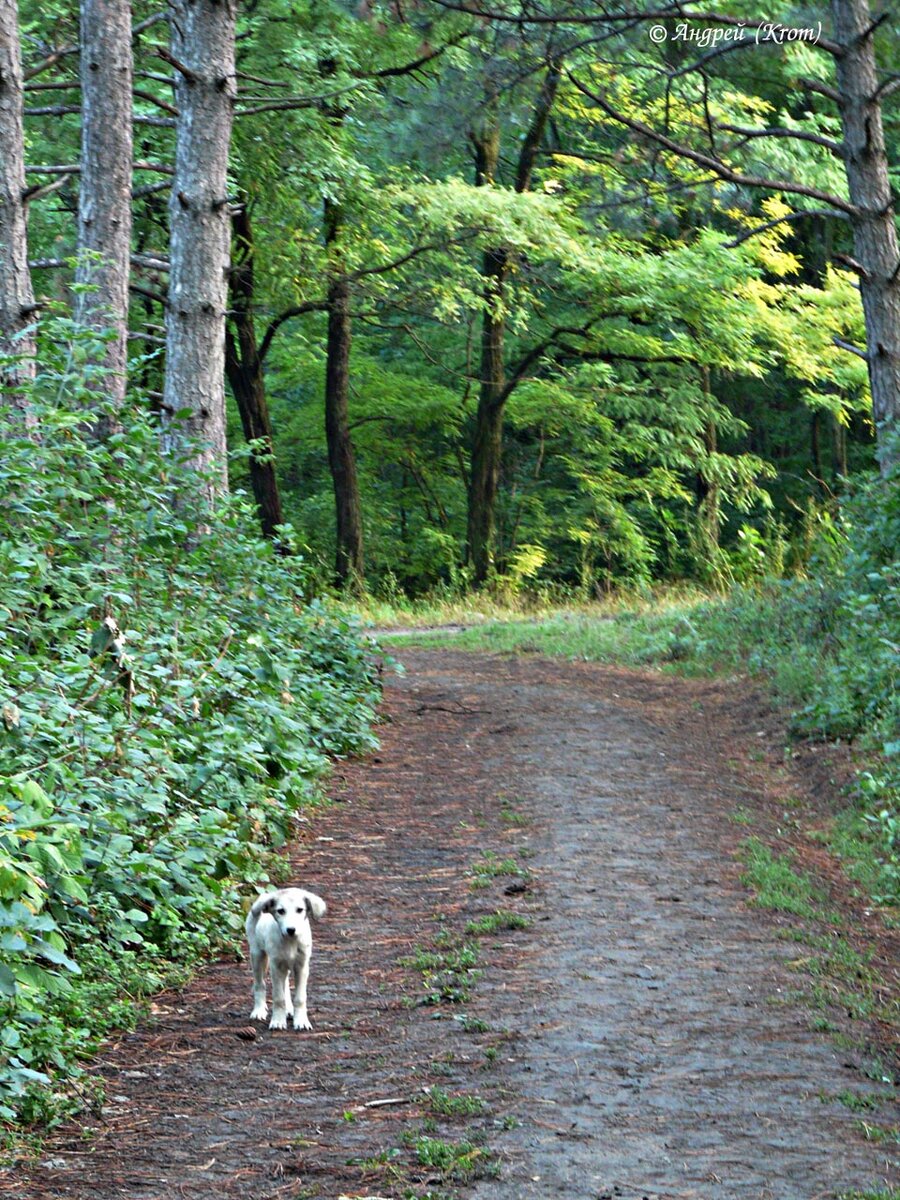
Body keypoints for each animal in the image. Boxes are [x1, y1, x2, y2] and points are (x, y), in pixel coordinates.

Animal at [247, 888, 328, 1027]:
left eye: (300, 910)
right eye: (280, 911)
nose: (291, 929)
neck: (290, 942)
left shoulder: (302, 967)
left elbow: (300, 998)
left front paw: (301, 1021)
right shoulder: (276, 966)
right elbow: (278, 997)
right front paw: (278, 1021)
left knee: (285, 986)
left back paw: (289, 1010)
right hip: (257, 954)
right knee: (259, 984)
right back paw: (259, 1011)